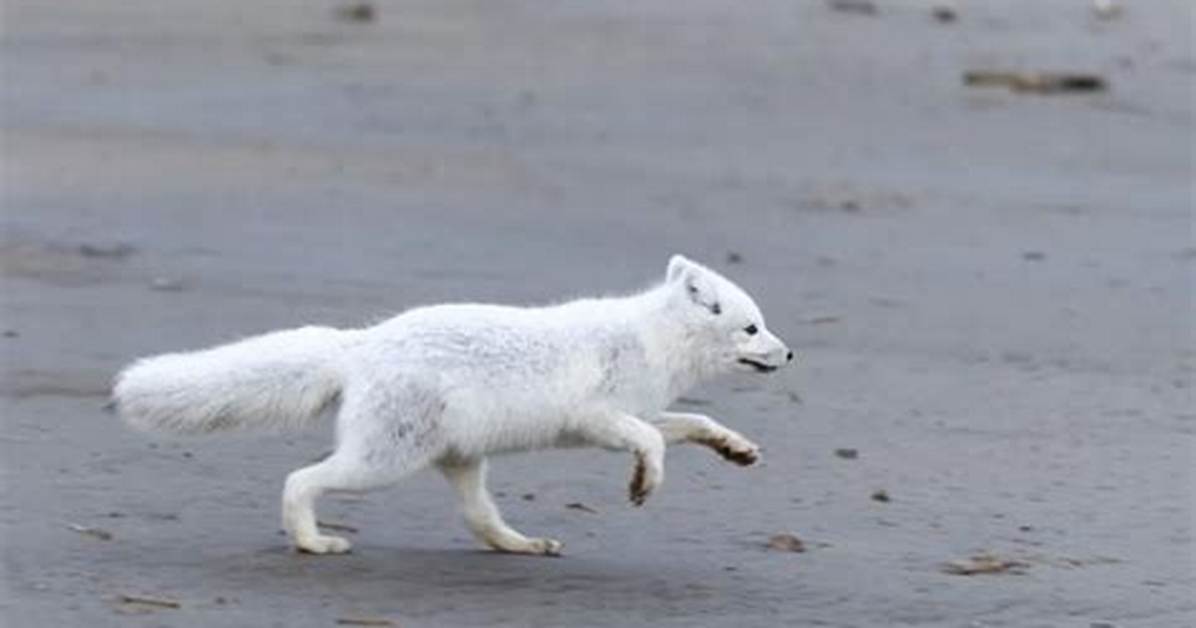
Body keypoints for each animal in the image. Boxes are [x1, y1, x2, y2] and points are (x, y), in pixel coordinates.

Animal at [113, 254, 794, 556]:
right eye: (752, 328)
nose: (789, 354)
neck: (650, 339)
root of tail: (363, 343)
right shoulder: (596, 418)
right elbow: (652, 442)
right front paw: (643, 483)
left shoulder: (639, 412)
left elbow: (693, 421)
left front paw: (736, 449)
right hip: (381, 461)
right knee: (299, 479)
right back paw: (312, 543)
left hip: (459, 460)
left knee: (479, 521)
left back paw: (523, 545)